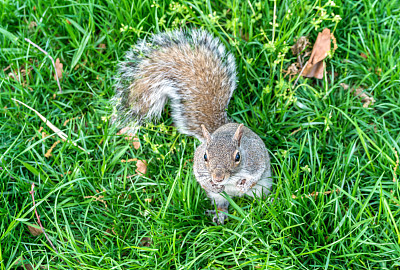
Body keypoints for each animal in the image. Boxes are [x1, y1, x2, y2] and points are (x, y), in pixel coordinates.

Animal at [113, 29, 276, 225]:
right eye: (205, 156)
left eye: (238, 157)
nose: (218, 178)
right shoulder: (199, 167)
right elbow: (201, 178)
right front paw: (213, 185)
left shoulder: (256, 159)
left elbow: (255, 175)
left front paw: (243, 185)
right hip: (218, 198)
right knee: (221, 203)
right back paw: (220, 215)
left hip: (263, 188)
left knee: (261, 196)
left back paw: (268, 204)